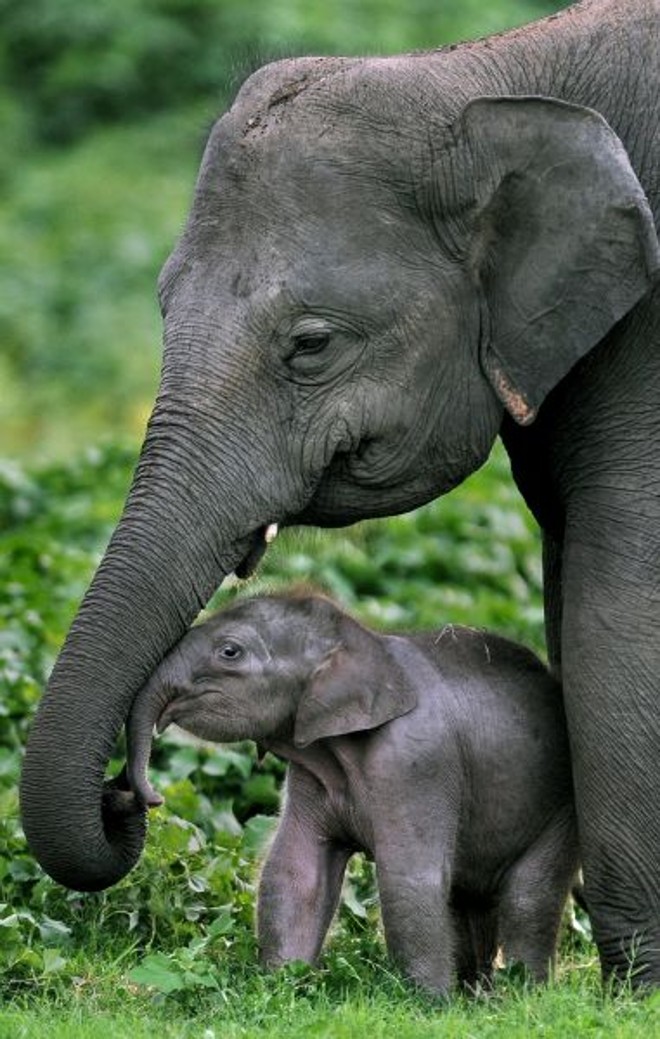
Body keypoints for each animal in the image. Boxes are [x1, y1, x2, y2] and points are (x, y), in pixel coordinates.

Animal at [125, 593, 580, 996]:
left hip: (559, 811)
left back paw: (521, 994)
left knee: (527, 897)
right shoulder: (311, 771)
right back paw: (478, 996)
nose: (154, 798)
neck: (364, 641)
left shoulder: (416, 764)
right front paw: (281, 986)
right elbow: (296, 870)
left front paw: (430, 1005)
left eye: (229, 652)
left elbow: (408, 879)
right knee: (463, 898)